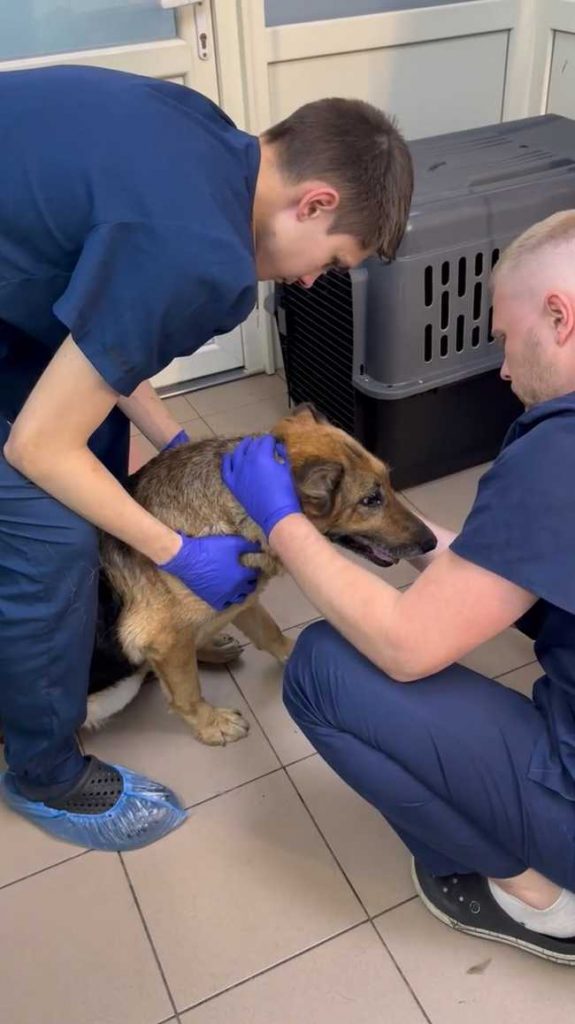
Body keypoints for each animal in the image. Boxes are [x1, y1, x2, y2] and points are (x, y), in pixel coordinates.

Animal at [86, 404, 436, 743]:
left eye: (389, 483)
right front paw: (211, 725)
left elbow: (270, 632)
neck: (231, 511)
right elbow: (187, 694)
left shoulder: (242, 597)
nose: (432, 543)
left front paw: (293, 656)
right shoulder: (165, 639)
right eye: (370, 500)